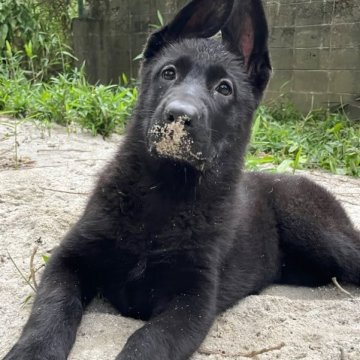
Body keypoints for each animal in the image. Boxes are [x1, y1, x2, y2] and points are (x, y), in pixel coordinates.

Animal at [3, 0, 360, 360]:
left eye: (224, 88)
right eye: (169, 73)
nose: (178, 115)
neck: (164, 191)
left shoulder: (192, 300)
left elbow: (147, 341)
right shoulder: (68, 262)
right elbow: (52, 309)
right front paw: (32, 351)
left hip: (315, 229)